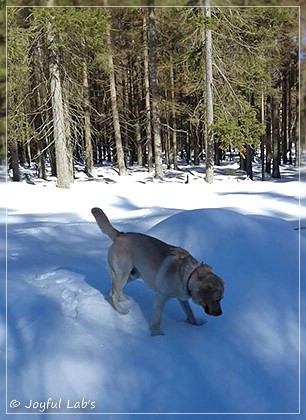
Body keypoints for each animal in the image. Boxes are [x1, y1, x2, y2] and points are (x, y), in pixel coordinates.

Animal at [92, 208, 224, 336]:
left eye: (221, 299)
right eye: (216, 299)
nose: (220, 314)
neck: (189, 275)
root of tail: (120, 235)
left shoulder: (182, 298)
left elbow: (190, 312)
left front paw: (196, 322)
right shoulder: (161, 297)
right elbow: (157, 319)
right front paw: (156, 335)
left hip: (133, 275)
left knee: (114, 289)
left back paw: (122, 299)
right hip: (123, 273)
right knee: (112, 293)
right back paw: (120, 310)